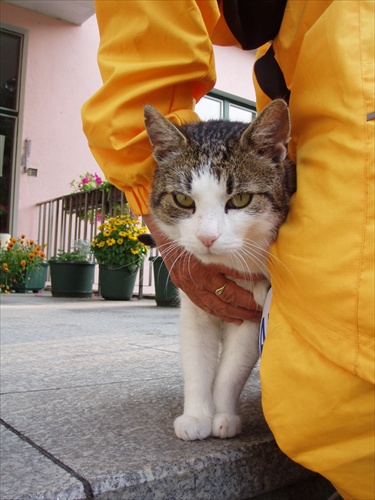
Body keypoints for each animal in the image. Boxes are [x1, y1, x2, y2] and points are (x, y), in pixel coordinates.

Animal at [142, 98, 296, 442]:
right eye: (183, 200)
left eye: (241, 199)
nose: (207, 238)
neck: (226, 269)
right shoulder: (195, 302)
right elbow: (197, 363)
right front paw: (197, 416)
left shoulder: (251, 307)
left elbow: (232, 370)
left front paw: (224, 416)